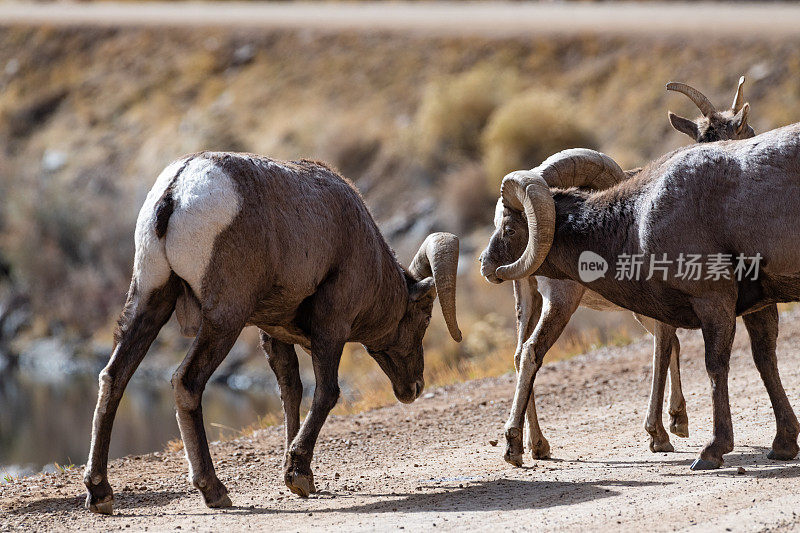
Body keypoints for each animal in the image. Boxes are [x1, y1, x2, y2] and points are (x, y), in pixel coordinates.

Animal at [83, 153, 460, 512]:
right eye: (425, 319)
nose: (414, 388)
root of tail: (176, 191)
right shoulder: (331, 328)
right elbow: (327, 393)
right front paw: (299, 476)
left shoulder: (273, 334)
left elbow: (291, 393)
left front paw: (298, 475)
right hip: (224, 321)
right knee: (186, 383)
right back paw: (214, 491)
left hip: (150, 299)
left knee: (114, 377)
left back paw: (100, 493)